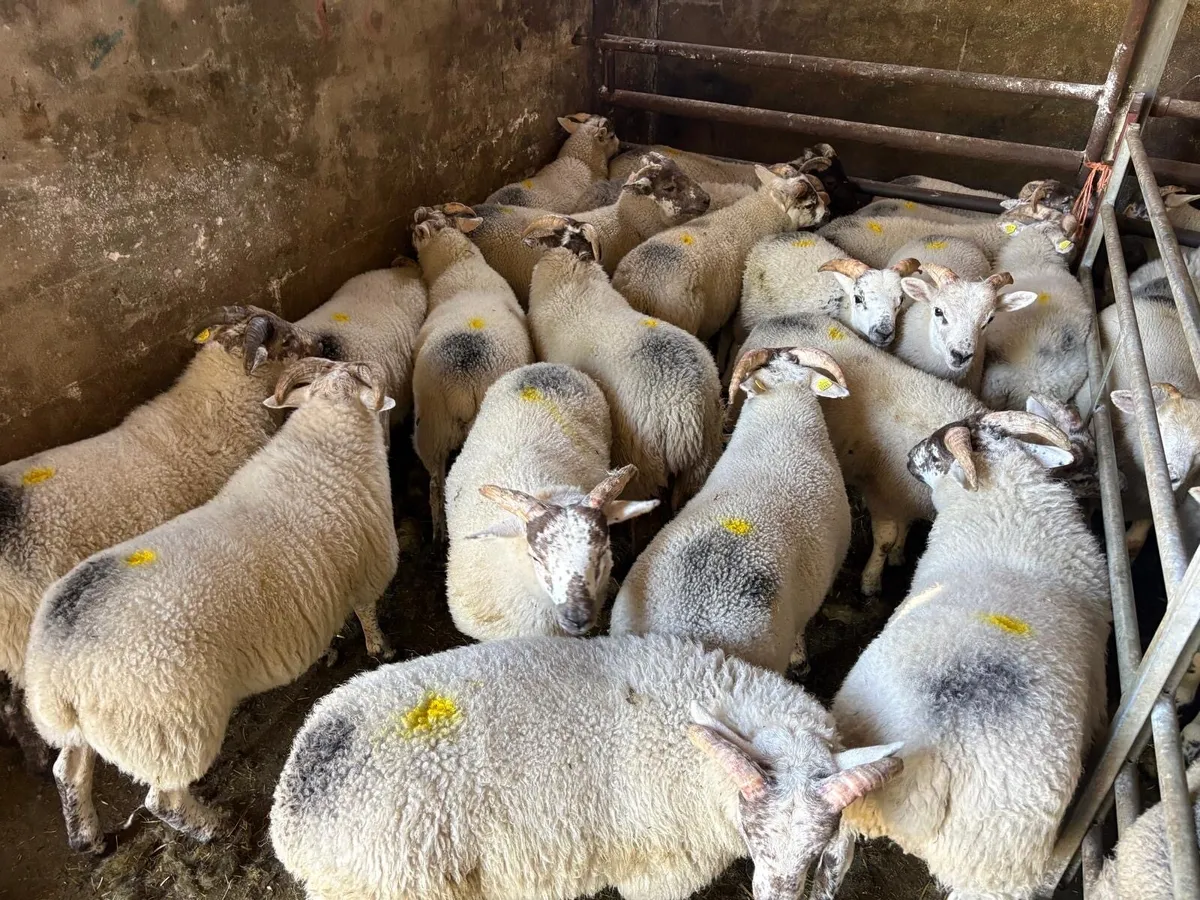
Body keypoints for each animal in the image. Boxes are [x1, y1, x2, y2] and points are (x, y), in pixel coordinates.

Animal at [23, 359, 399, 853]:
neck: (326, 440)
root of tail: (54, 672)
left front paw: (334, 649)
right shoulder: (368, 567)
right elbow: (368, 612)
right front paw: (381, 650)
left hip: (91, 730)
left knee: (68, 770)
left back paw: (88, 838)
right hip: (170, 728)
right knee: (162, 799)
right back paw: (217, 826)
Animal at [410, 204, 534, 541]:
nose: (417, 210)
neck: (459, 264)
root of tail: (462, 385)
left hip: (430, 429)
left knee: (434, 487)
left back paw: (438, 533)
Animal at [737, 312, 987, 595]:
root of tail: (782, 317)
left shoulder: (905, 495)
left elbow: (906, 525)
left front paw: (898, 555)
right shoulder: (883, 492)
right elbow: (886, 540)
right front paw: (871, 581)